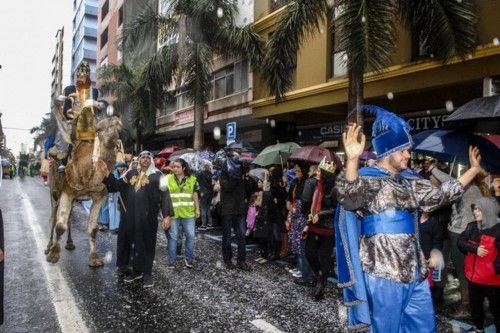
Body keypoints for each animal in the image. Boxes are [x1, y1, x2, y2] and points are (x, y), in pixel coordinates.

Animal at [45, 115, 122, 266]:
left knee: (68, 217)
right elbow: (60, 226)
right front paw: (53, 255)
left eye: (118, 127)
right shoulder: (67, 191)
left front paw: (95, 259)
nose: (116, 121)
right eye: (100, 128)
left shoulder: (99, 196)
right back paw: (48, 246)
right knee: (53, 217)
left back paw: (70, 243)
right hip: (54, 191)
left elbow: (93, 229)